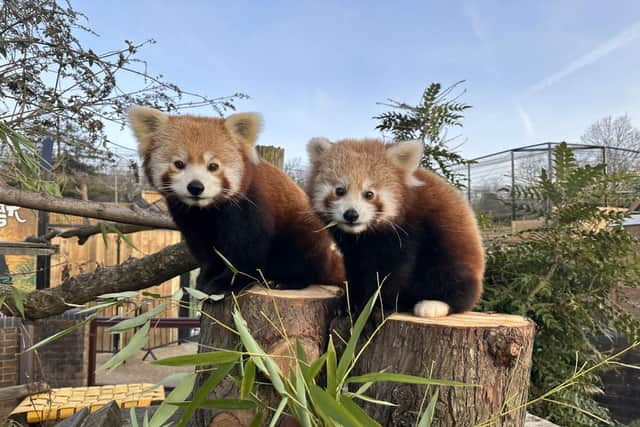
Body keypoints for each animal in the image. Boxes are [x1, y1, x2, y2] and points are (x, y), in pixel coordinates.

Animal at [129, 106, 344, 294]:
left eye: (213, 166)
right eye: (179, 164)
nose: (196, 187)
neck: (206, 209)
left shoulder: (249, 206)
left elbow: (248, 252)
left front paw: (226, 283)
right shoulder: (191, 220)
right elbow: (206, 251)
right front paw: (206, 278)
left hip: (303, 235)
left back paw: (287, 281)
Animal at [306, 138, 484, 318]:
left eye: (369, 194)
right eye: (340, 190)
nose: (351, 214)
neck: (366, 234)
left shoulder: (408, 231)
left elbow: (391, 273)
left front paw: (374, 307)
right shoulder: (353, 248)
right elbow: (355, 271)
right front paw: (349, 304)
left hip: (451, 250)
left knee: (452, 278)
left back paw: (433, 304)